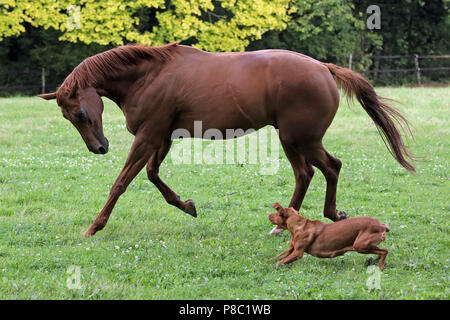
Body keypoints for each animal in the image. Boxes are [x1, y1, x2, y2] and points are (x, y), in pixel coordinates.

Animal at [38, 43, 414, 238]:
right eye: (68, 117)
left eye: (81, 114)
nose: (99, 148)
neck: (149, 75)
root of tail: (323, 67)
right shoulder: (162, 137)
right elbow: (153, 176)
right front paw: (187, 205)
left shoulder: (147, 136)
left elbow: (122, 182)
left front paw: (94, 227)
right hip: (298, 140)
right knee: (319, 171)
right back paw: (318, 218)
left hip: (297, 139)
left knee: (318, 170)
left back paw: (303, 222)